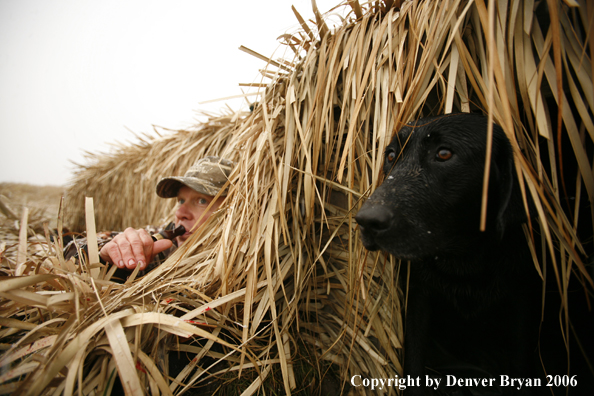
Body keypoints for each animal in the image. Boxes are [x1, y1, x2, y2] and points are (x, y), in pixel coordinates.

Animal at [354, 113, 540, 394]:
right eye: (391, 155)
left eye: (444, 154)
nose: (367, 221)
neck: (464, 265)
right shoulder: (420, 300)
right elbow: (414, 363)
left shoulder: (521, 300)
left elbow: (520, 364)